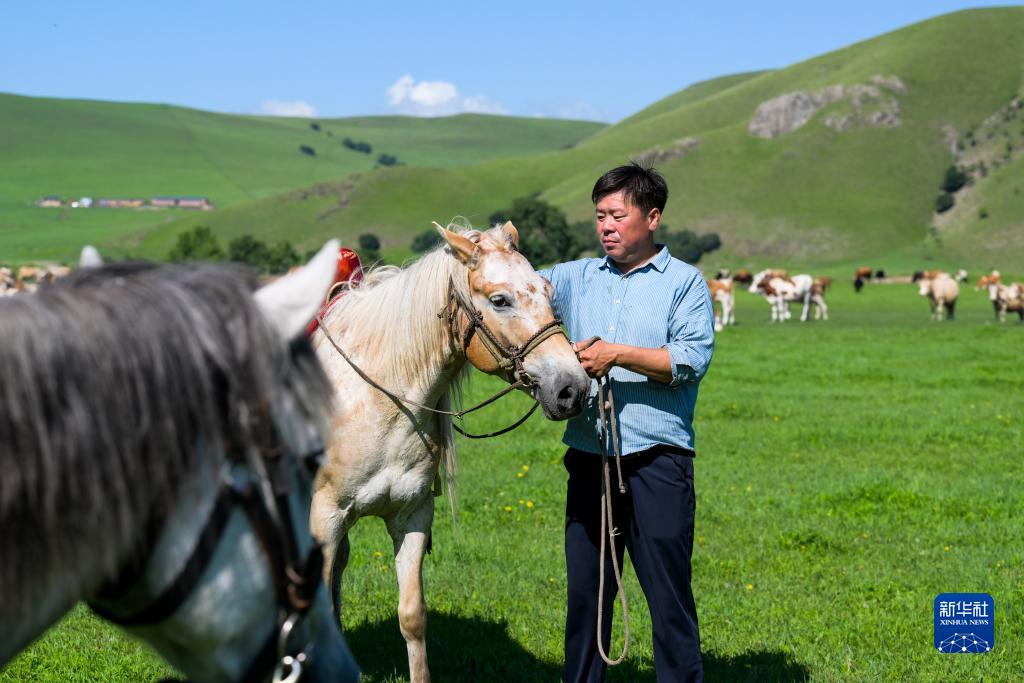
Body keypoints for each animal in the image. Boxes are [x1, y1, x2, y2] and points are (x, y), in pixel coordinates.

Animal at [307, 223, 589, 679]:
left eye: (548, 290)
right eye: (500, 299)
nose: (572, 389)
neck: (380, 398)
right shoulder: (326, 516)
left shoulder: (412, 516)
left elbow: (412, 616)